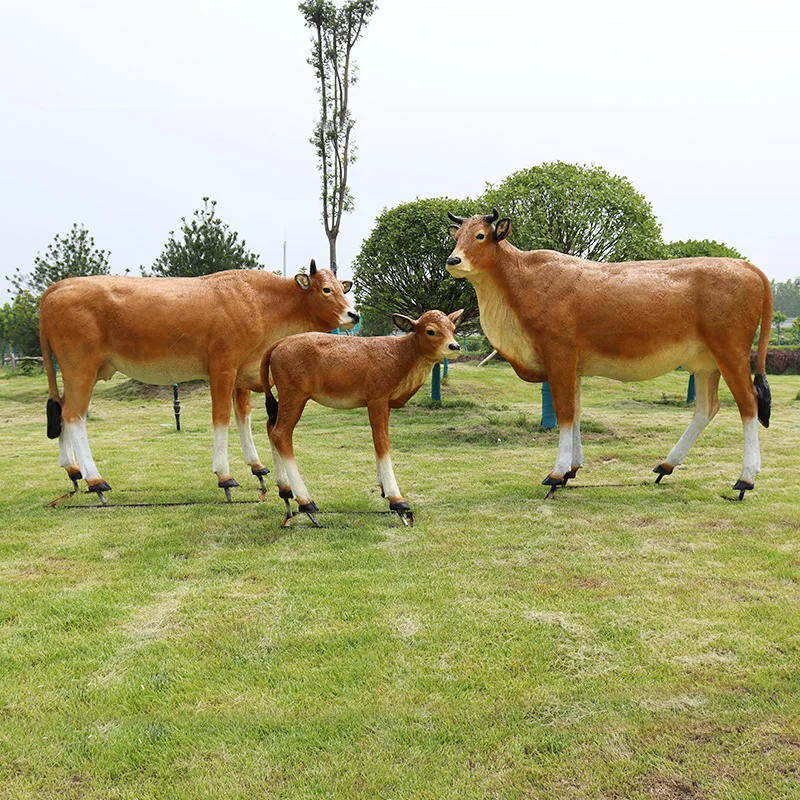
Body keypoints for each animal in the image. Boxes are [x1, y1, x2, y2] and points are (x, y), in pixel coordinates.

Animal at [39, 261, 358, 503]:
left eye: (342, 287)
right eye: (326, 289)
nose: (353, 314)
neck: (262, 303)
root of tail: (58, 287)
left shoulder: (243, 372)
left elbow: (243, 416)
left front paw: (257, 467)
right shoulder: (223, 367)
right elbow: (221, 417)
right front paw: (225, 476)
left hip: (77, 372)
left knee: (63, 411)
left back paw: (73, 471)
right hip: (81, 368)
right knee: (74, 415)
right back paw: (95, 481)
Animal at [260, 309, 464, 527]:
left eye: (453, 328)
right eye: (430, 331)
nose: (455, 346)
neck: (401, 355)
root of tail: (278, 343)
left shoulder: (384, 403)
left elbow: (377, 440)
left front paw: (383, 489)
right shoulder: (377, 398)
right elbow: (382, 440)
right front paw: (397, 501)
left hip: (284, 399)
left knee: (270, 426)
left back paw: (285, 492)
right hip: (294, 395)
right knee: (281, 433)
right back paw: (306, 503)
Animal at [445, 209, 773, 500]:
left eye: (480, 235)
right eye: (457, 237)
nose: (453, 260)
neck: (520, 281)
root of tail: (748, 267)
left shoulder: (559, 353)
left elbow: (565, 411)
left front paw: (556, 474)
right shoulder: (574, 364)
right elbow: (576, 411)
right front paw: (572, 470)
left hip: (731, 351)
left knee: (748, 403)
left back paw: (745, 480)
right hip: (706, 362)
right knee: (707, 408)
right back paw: (666, 466)